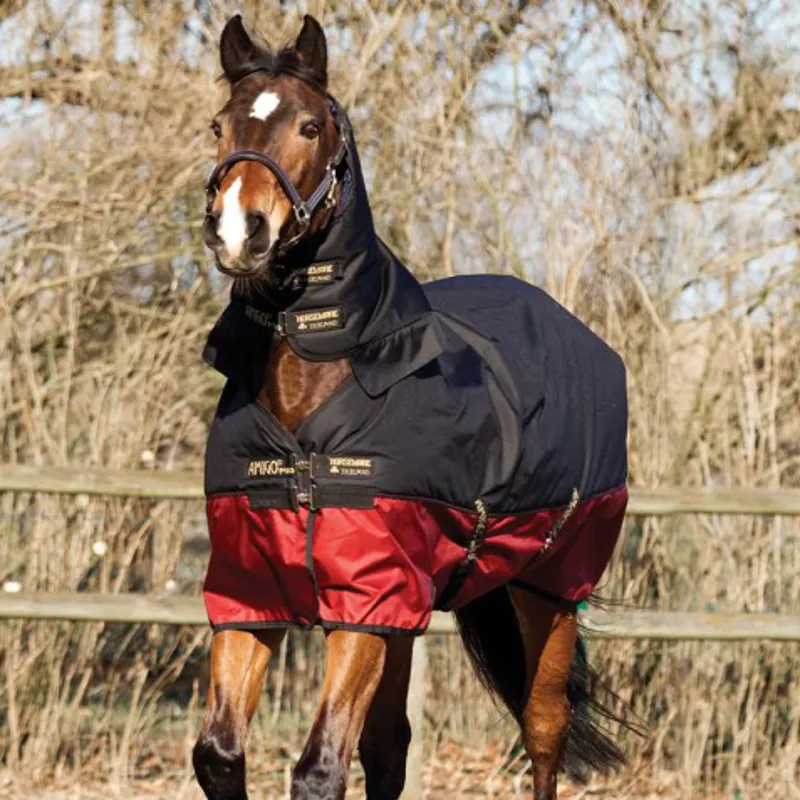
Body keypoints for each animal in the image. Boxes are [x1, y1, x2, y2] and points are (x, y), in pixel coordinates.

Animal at [193, 14, 631, 800]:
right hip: (414, 612)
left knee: (543, 727)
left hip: (549, 587)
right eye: (220, 124)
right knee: (390, 748)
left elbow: (319, 769)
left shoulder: (367, 604)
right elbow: (221, 752)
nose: (240, 229)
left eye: (309, 125)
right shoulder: (256, 595)